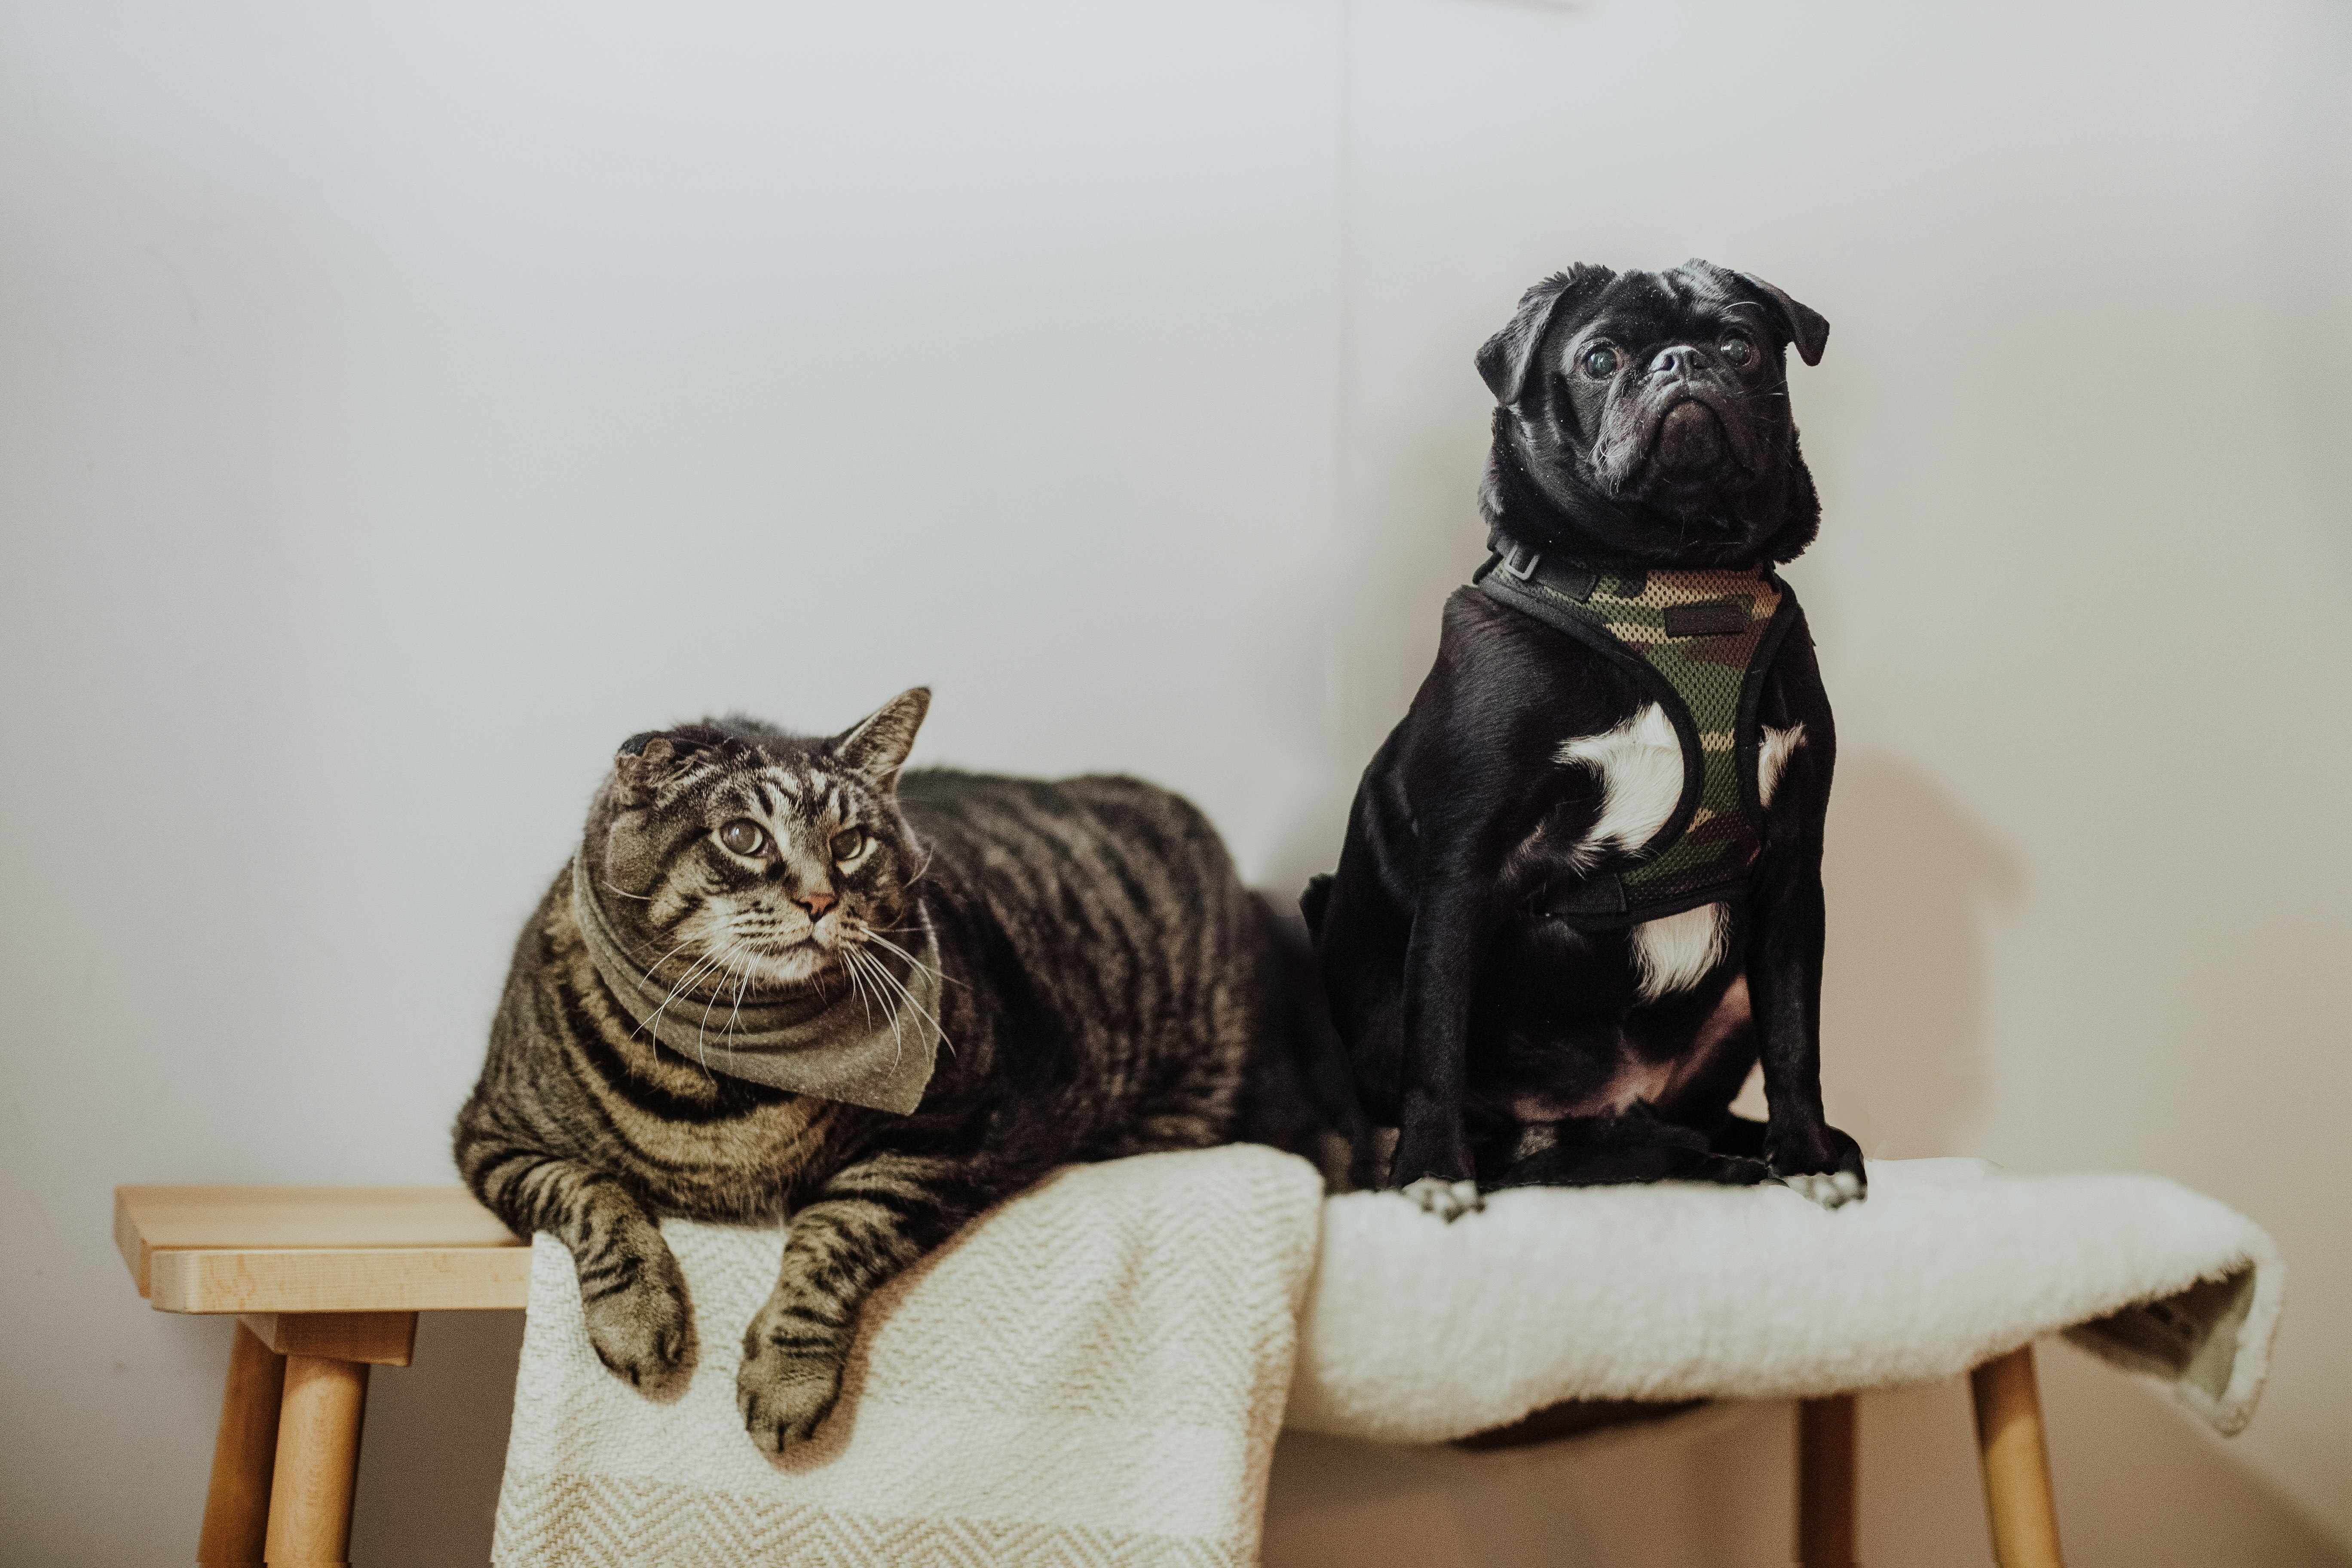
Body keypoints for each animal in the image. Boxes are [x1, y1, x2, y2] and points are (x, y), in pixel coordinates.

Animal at [454, 691, 1364, 1457]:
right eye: (744, 837)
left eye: (851, 843)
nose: (821, 899)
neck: (732, 1071)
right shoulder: (492, 1136)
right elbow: (594, 1196)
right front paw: (639, 1319)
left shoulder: (956, 1134)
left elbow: (836, 1233)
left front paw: (787, 1378)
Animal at [1308, 257, 1853, 1222]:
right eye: (1599, 359)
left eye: (1739, 346)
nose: (1680, 361)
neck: (1673, 576)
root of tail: (1602, 1106)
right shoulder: (1465, 869)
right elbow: (1435, 1038)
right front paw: (1432, 1169)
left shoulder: (1793, 869)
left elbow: (1797, 1033)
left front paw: (1808, 1155)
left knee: (1689, 1119)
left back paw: (1738, 1155)